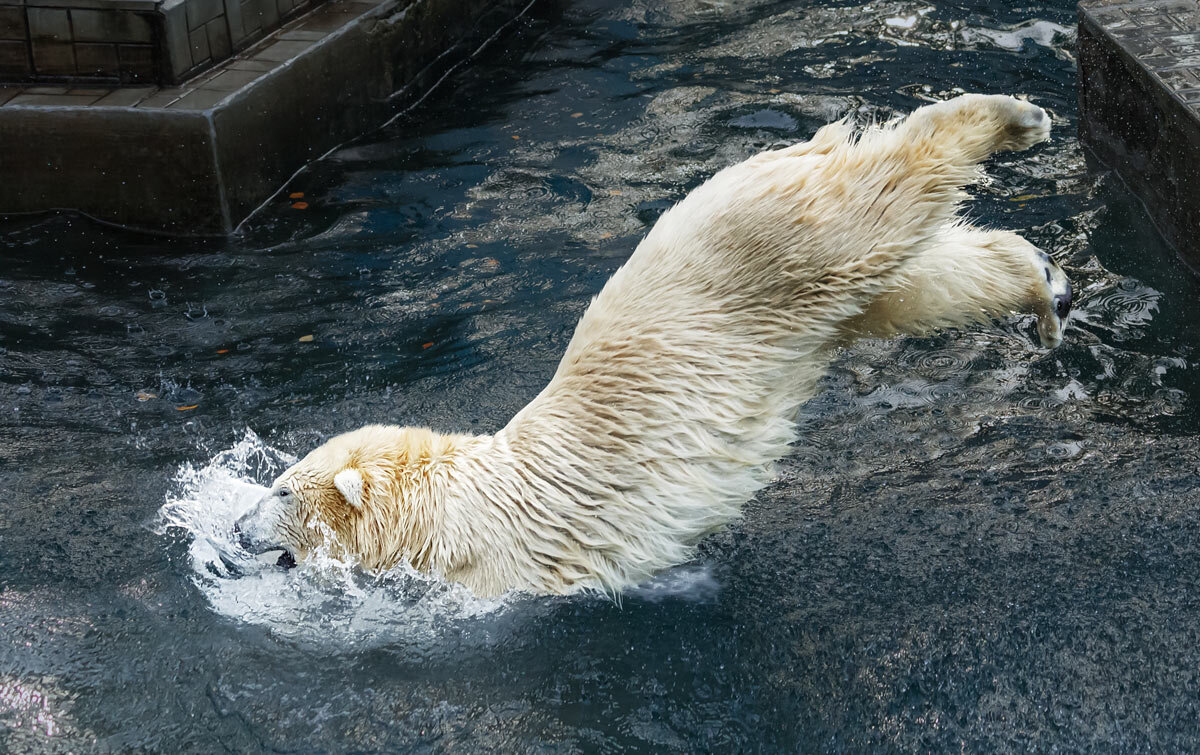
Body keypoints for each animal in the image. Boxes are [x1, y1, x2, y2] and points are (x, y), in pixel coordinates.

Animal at [231, 94, 1070, 597]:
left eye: (282, 490)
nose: (235, 528)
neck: (454, 502)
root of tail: (768, 160)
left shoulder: (502, 570)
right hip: (813, 296)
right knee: (918, 281)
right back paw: (1044, 285)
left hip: (767, 247)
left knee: (885, 194)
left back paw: (1020, 118)